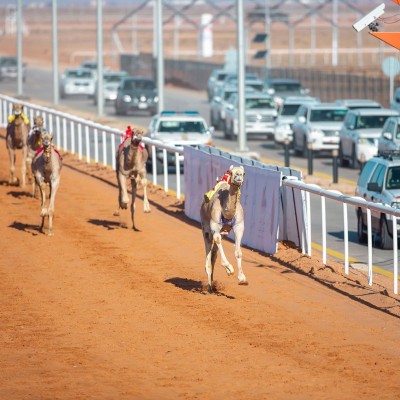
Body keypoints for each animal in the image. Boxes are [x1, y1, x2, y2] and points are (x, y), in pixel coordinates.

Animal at [200, 166, 247, 294]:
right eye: (231, 172)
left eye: (244, 173)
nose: (238, 176)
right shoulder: (214, 224)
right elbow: (217, 240)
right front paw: (229, 268)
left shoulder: (239, 226)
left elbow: (238, 252)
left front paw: (242, 279)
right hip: (206, 228)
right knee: (209, 250)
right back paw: (209, 287)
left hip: (223, 232)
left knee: (213, 255)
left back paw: (212, 284)